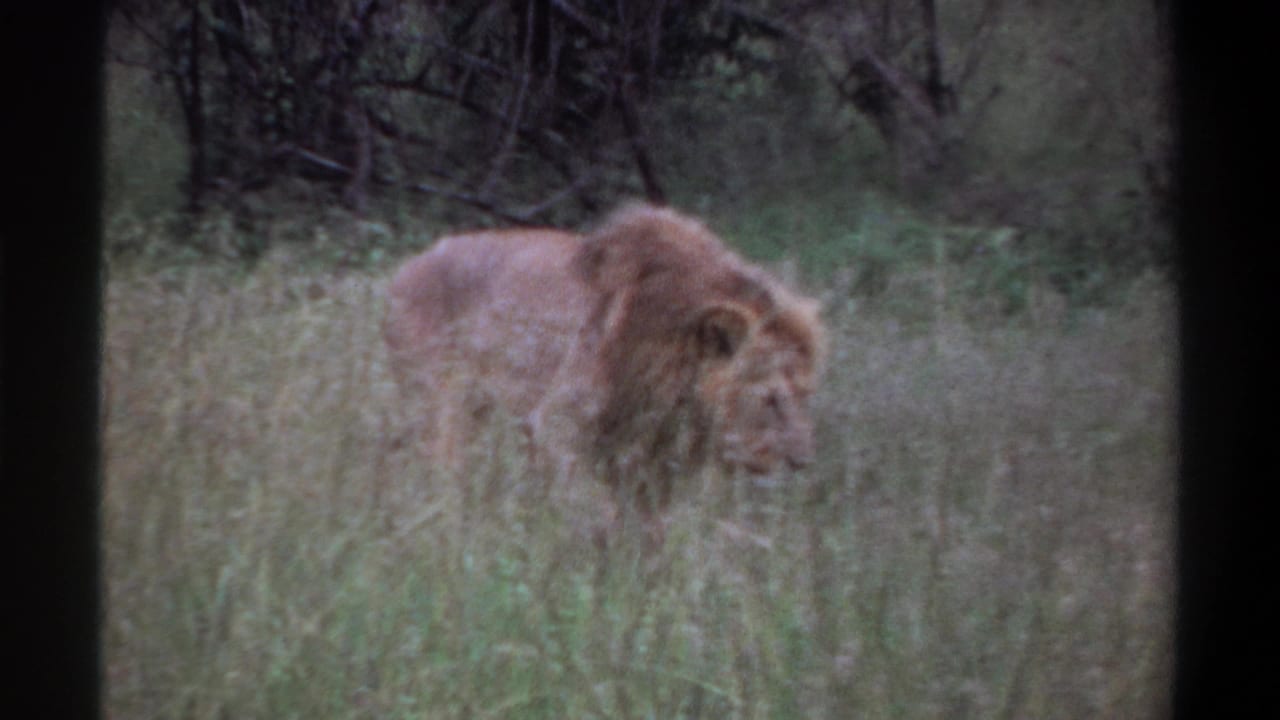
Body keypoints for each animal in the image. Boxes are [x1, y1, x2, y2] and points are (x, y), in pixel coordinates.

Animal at [384, 203, 824, 544]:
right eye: (770, 398)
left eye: (806, 396)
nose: (801, 463)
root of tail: (403, 271)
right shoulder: (557, 425)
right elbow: (601, 514)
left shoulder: (652, 461)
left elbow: (651, 530)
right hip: (437, 412)